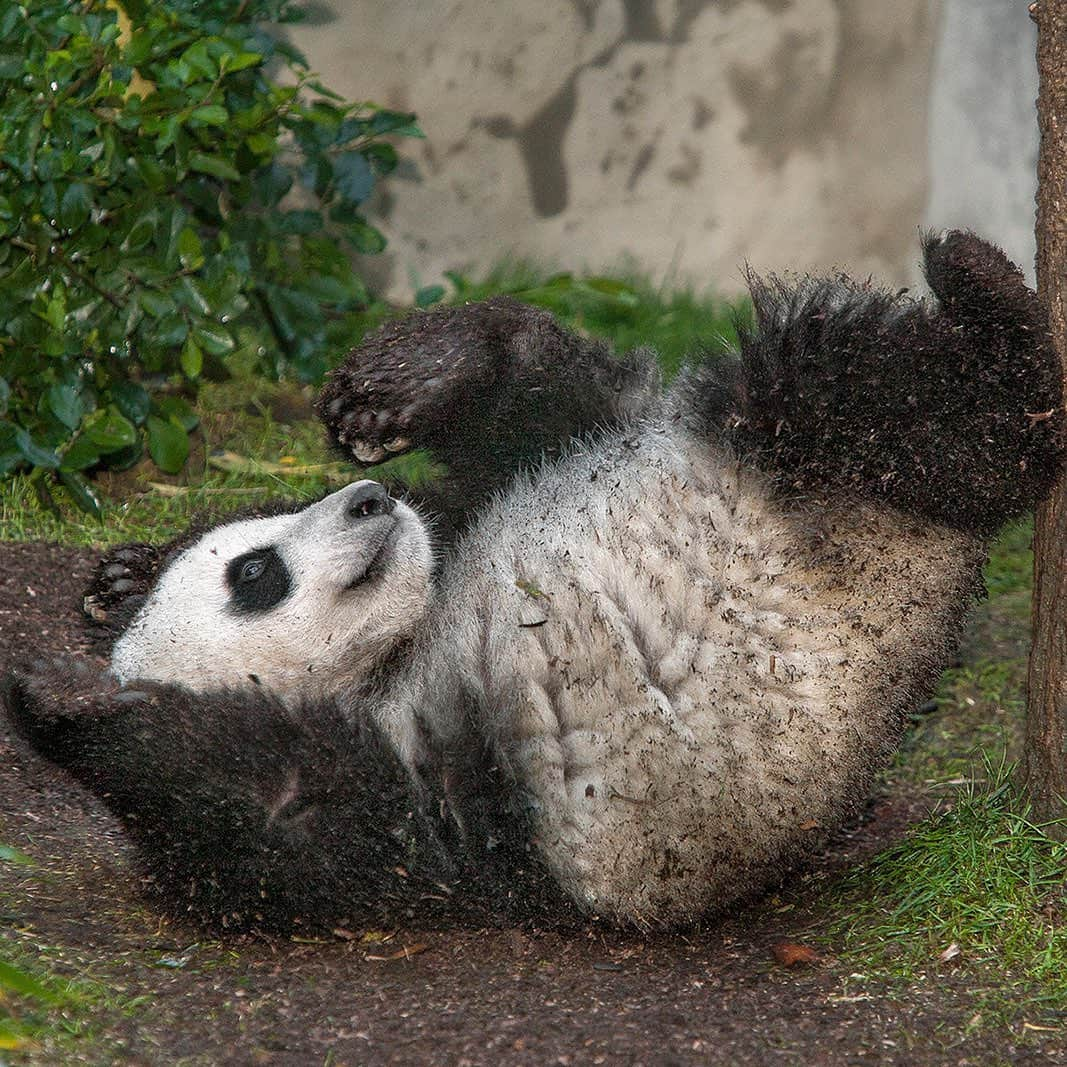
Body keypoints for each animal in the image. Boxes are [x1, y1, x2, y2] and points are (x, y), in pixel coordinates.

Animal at [4, 233, 1062, 934]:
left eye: (255, 543)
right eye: (254, 572)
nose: (369, 502)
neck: (402, 648)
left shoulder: (474, 508)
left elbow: (521, 420)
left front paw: (121, 579)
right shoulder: (444, 800)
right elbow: (287, 819)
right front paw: (75, 697)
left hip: (698, 451)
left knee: (633, 385)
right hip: (850, 510)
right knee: (907, 415)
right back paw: (993, 319)